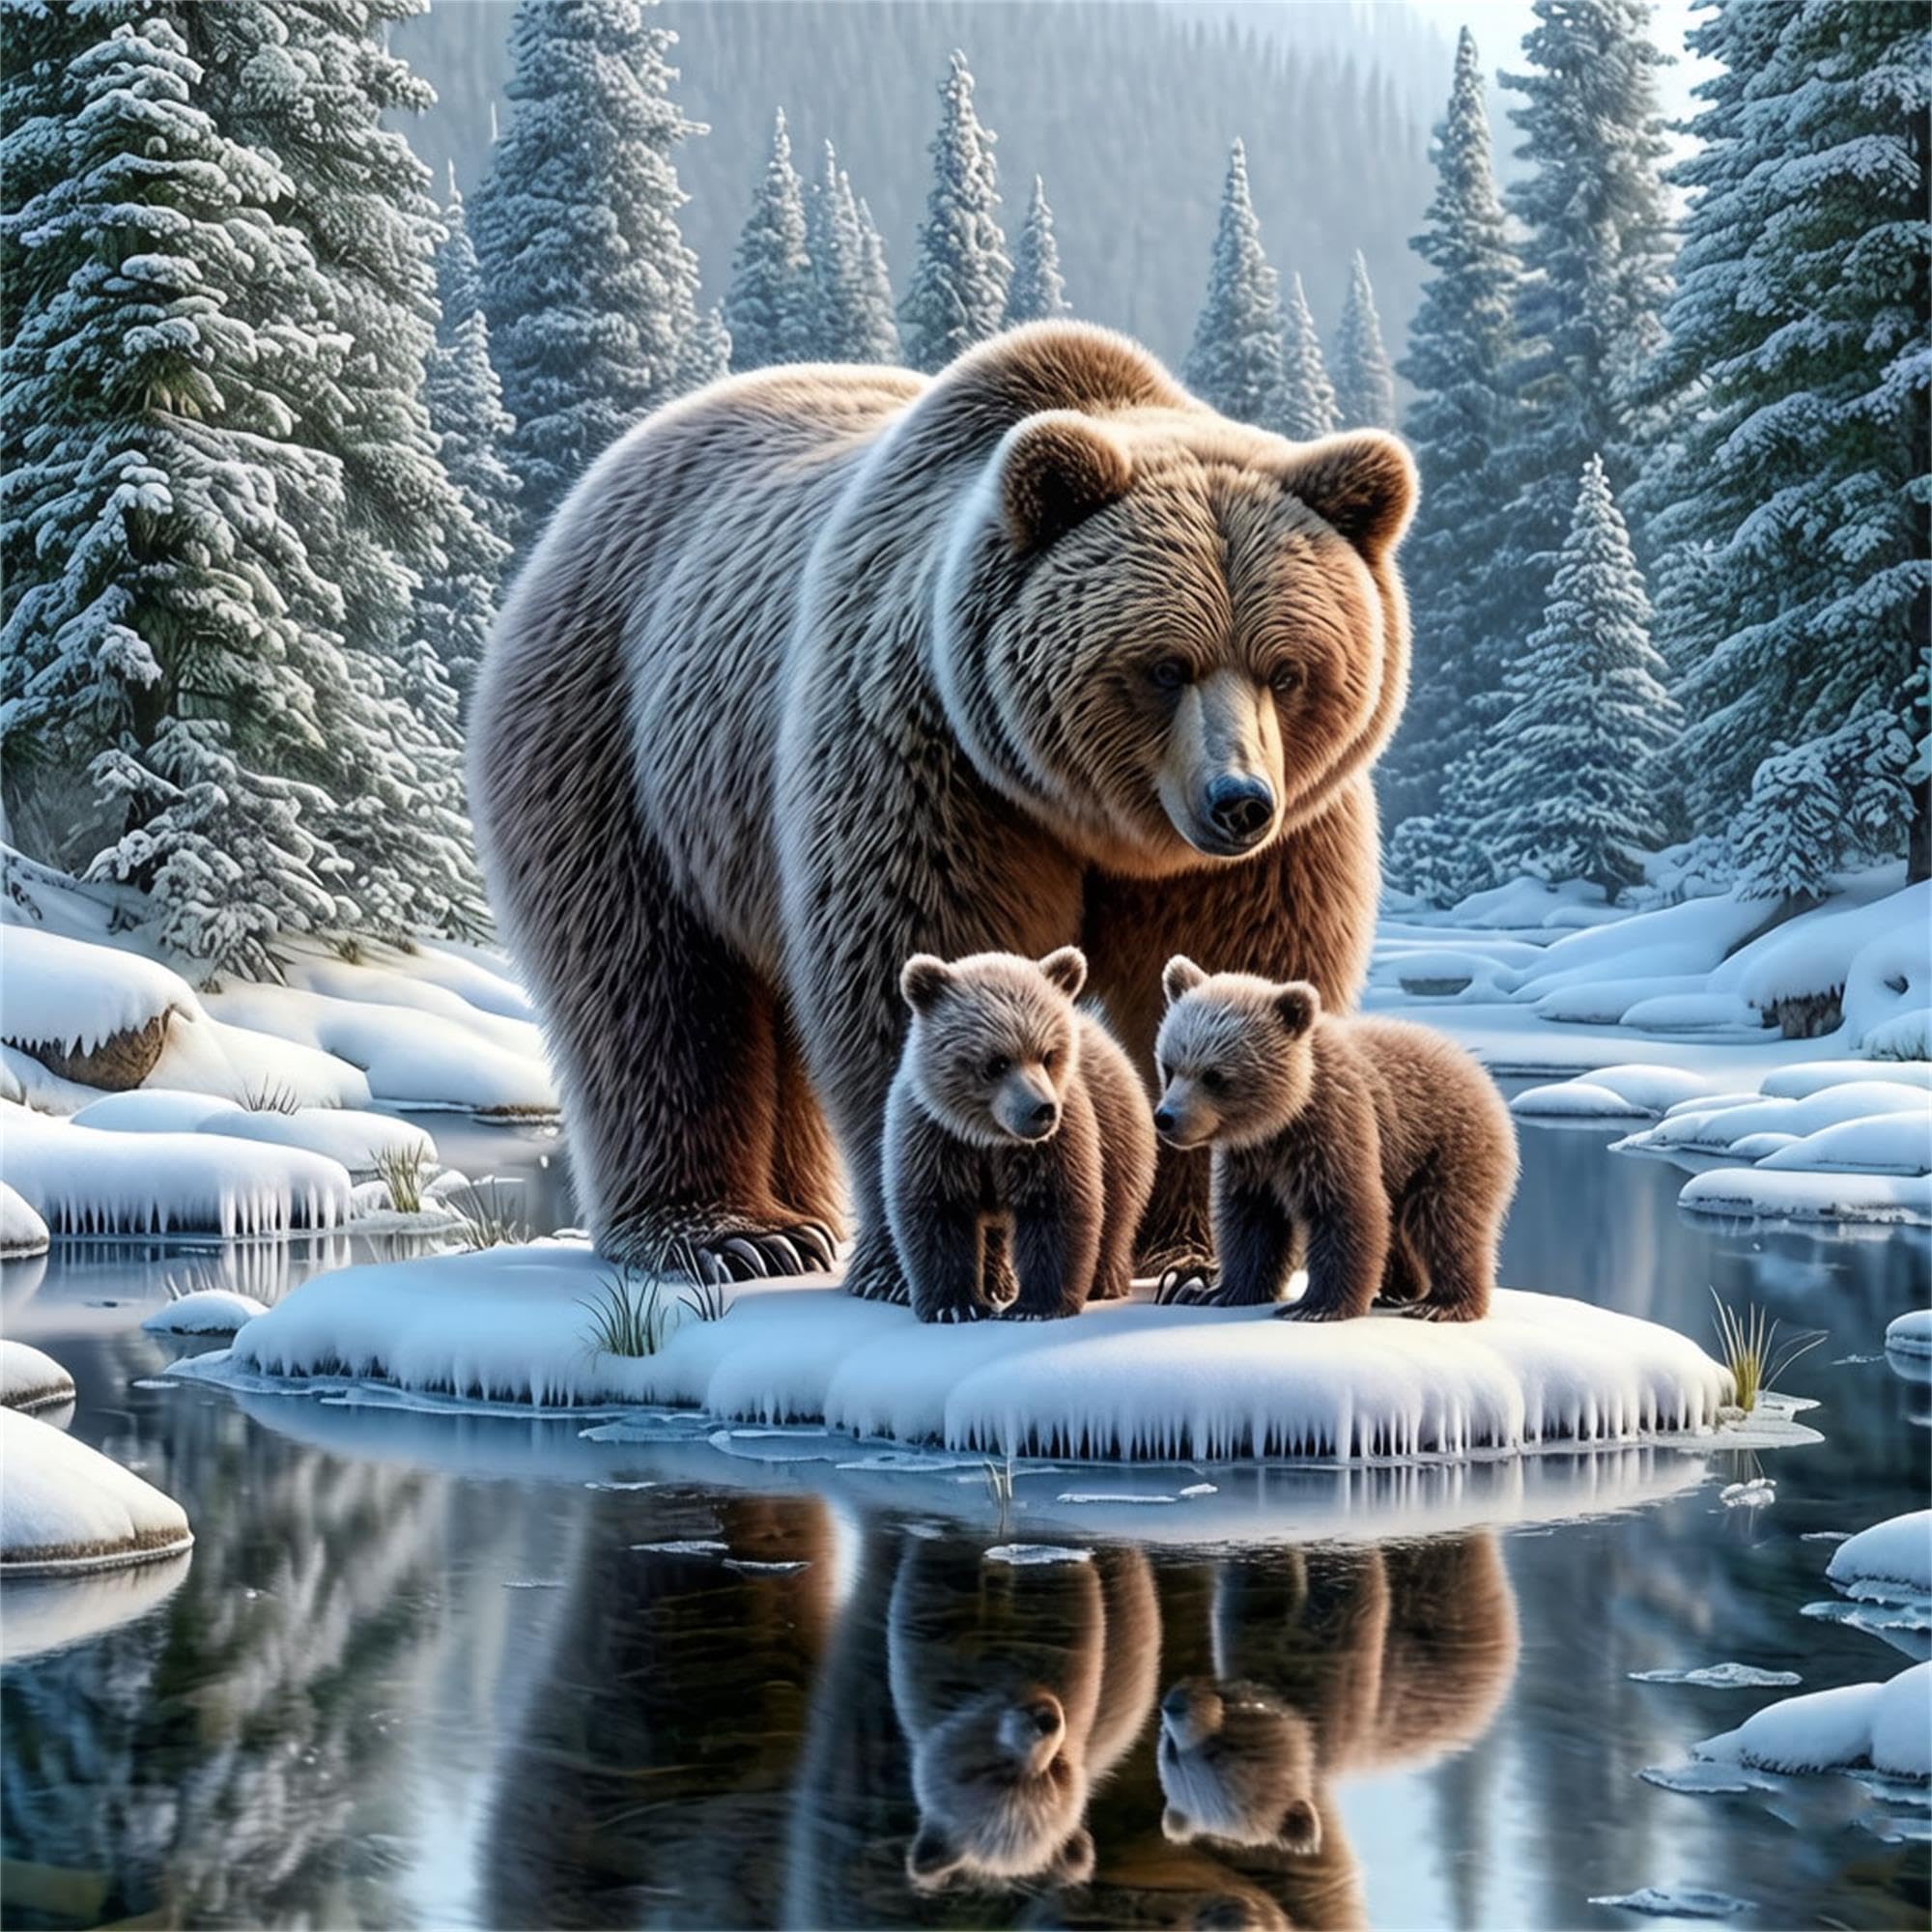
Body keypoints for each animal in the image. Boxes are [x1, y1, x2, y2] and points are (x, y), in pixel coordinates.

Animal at [886, 945, 1157, 1322]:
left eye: (1048, 1054)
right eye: (997, 1062)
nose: (1042, 1110)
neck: (988, 1137)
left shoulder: (1056, 1142)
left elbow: (1054, 1207)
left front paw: (1033, 1306)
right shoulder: (936, 1139)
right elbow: (937, 1214)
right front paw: (955, 1305)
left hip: (1116, 1131)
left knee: (1116, 1211)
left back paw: (1103, 1281)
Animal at [1152, 960, 1518, 1322]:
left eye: (1214, 1076)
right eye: (1169, 1066)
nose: (1166, 1117)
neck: (1281, 1118)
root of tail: (1478, 1071)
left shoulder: (1333, 1126)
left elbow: (1345, 1207)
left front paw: (1315, 1306)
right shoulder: (1251, 1159)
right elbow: (1250, 1222)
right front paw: (1217, 1292)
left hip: (1446, 1145)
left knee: (1445, 1222)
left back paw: (1444, 1302)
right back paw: (1398, 1289)